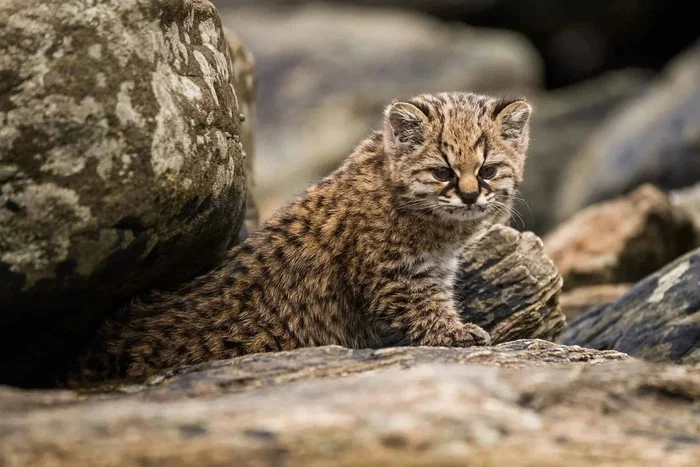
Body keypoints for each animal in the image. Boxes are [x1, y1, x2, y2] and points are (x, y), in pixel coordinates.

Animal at [71, 90, 532, 384]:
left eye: (488, 170)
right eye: (442, 172)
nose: (470, 195)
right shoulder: (395, 277)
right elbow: (425, 312)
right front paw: (457, 334)